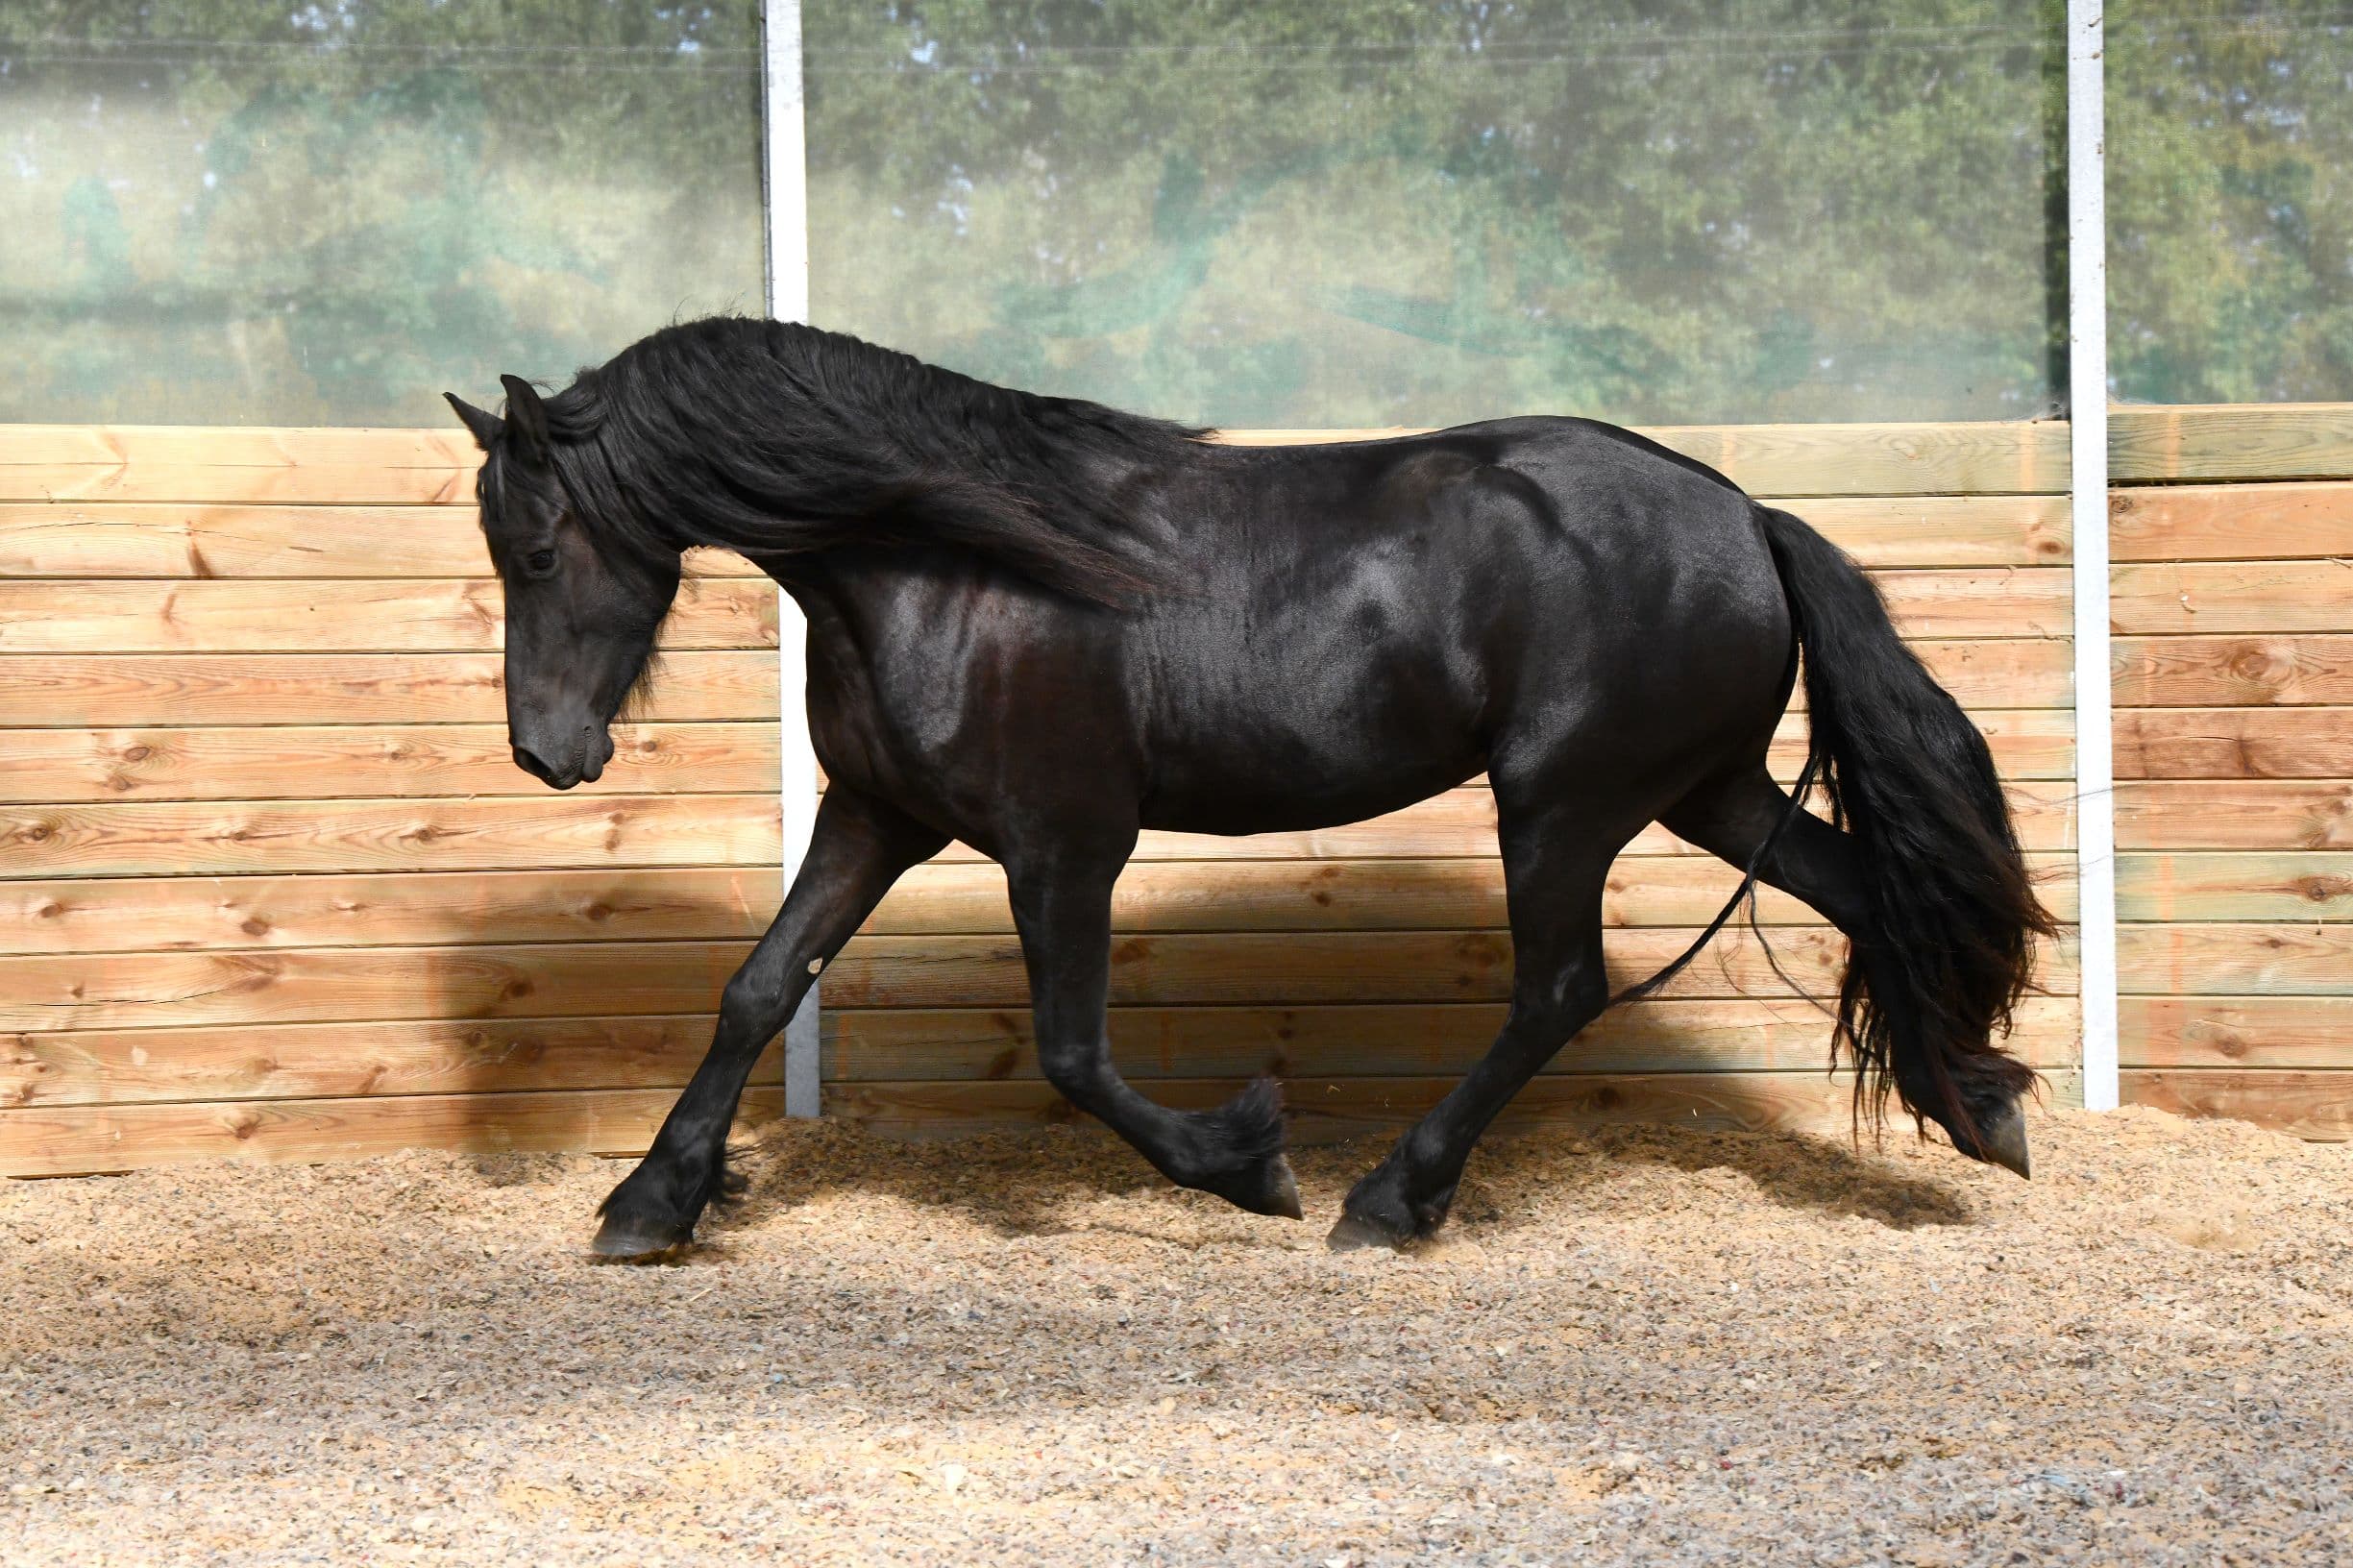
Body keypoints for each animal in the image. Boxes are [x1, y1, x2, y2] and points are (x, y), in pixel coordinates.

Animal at [444, 316, 2051, 1260]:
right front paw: (649, 1205)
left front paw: (1250, 1163)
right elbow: (758, 990)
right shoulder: (877, 817)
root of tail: (1744, 514)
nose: (545, 751)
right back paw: (1977, 1109)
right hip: (1699, 790)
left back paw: (1390, 1200)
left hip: (1565, 801)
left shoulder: (1065, 844)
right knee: (1865, 896)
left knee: (1560, 987)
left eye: (538, 547)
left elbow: (1072, 1054)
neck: (943, 566)